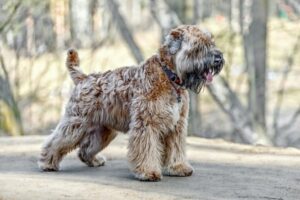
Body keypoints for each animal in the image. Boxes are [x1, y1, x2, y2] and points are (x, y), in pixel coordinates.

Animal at [37, 25, 224, 181]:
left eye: (211, 42)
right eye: (198, 46)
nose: (218, 59)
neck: (169, 76)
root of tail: (84, 78)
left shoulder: (177, 126)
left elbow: (176, 149)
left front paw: (178, 167)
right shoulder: (146, 124)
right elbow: (146, 149)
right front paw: (148, 172)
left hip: (104, 131)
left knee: (85, 149)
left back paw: (94, 160)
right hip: (76, 124)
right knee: (55, 141)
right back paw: (47, 163)